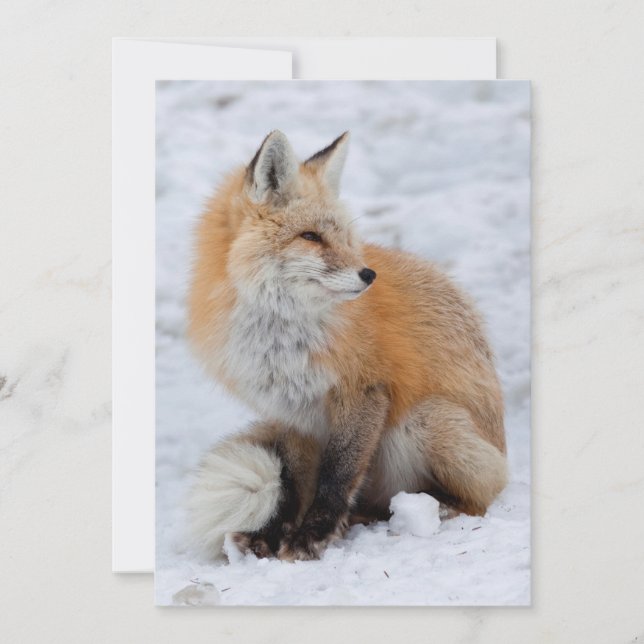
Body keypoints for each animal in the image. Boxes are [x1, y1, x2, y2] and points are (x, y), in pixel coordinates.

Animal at [186, 130, 507, 561]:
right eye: (310, 236)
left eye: (344, 238)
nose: (368, 274)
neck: (282, 339)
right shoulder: (289, 413)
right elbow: (291, 484)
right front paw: (272, 535)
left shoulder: (364, 390)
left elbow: (337, 475)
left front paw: (312, 535)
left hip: (427, 420)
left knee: (479, 500)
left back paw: (428, 509)